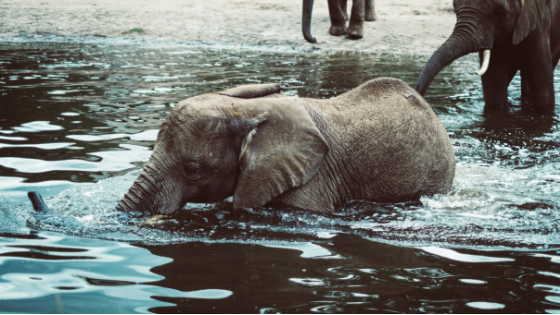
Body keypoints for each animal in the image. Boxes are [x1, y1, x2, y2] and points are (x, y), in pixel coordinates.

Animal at [414, 0, 560, 113]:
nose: (417, 92)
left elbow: (540, 79)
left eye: (500, 12)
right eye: (455, 7)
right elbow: (494, 80)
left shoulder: (538, 23)